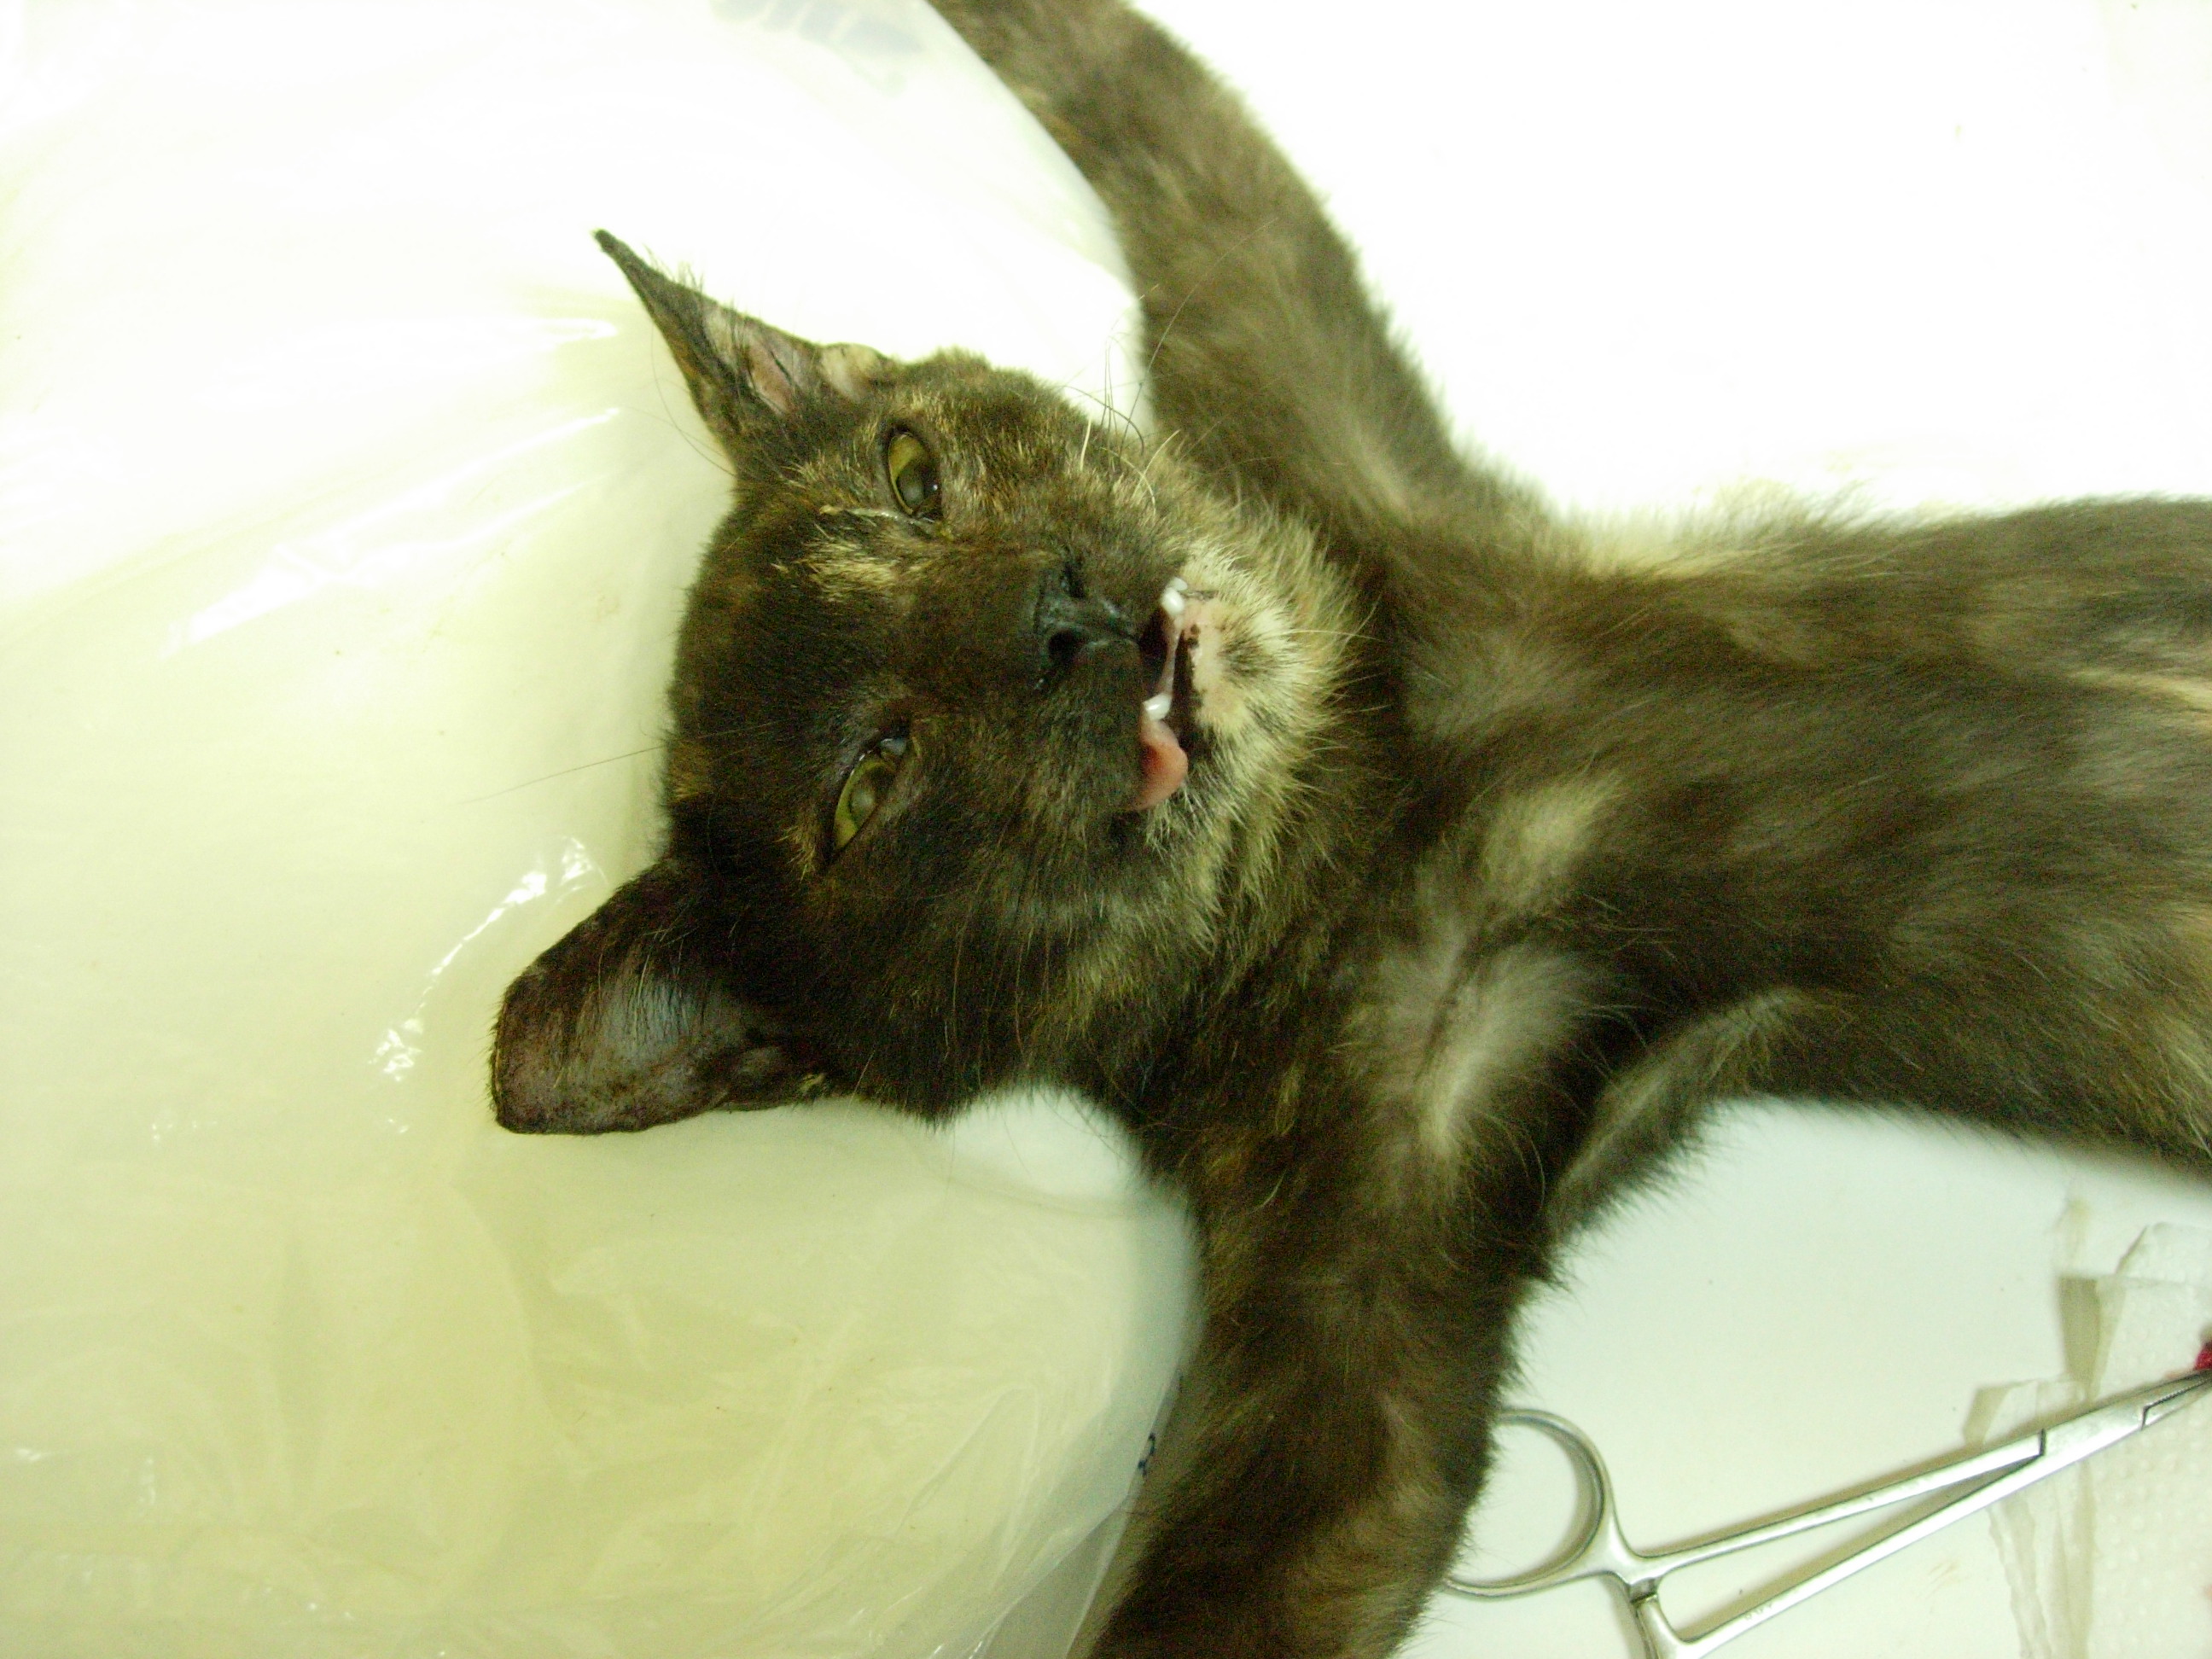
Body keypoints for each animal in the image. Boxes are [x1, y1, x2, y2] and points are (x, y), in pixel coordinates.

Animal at [490, 0, 2212, 1653]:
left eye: (915, 475)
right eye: (869, 785)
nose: (1061, 615)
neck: (1356, 782)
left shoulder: (1299, 394)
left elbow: (1156, 100)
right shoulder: (1382, 1225)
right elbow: (1307, 1529)